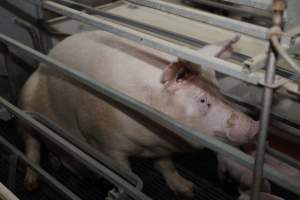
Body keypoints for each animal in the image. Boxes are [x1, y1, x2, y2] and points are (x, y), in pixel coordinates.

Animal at [17, 30, 258, 198]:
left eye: (219, 89)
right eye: (202, 100)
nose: (254, 126)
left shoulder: (160, 148)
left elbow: (166, 166)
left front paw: (188, 190)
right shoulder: (105, 142)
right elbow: (126, 177)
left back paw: (60, 165)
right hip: (25, 102)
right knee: (31, 144)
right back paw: (31, 184)